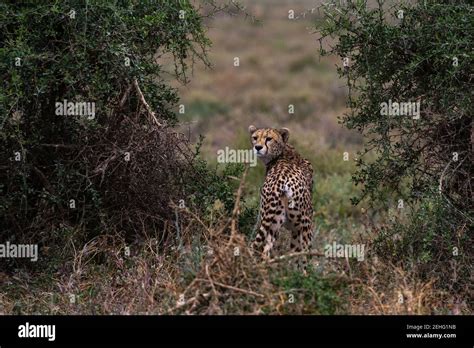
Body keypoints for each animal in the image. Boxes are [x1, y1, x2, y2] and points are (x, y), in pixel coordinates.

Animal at [250, 125, 312, 272]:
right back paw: (307, 274)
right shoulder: (298, 227)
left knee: (265, 252)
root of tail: (280, 181)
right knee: (305, 253)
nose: (258, 147)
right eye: (255, 137)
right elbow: (297, 252)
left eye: (269, 138)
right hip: (305, 222)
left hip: (272, 222)